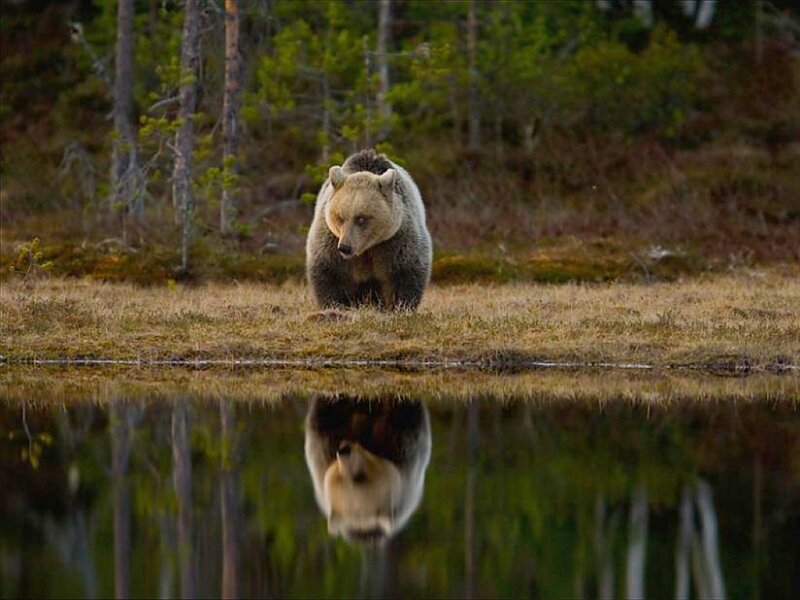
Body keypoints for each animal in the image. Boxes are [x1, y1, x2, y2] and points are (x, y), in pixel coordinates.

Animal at [305, 149, 433, 310]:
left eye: (361, 218)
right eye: (340, 217)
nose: (345, 247)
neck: (366, 249)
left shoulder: (396, 239)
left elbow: (405, 271)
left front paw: (400, 306)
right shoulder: (330, 240)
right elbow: (329, 271)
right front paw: (334, 305)